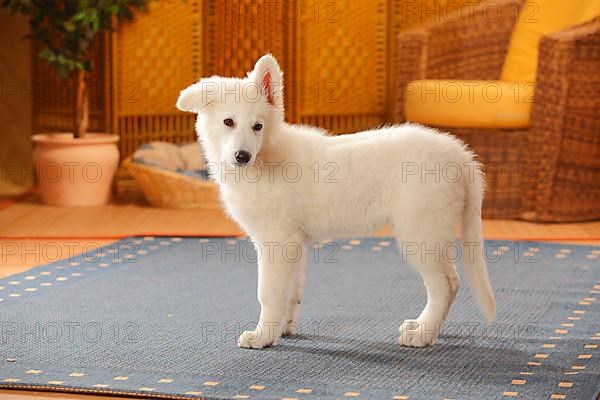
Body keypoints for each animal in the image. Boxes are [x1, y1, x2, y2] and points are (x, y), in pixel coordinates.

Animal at [176, 54, 494, 348]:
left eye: (258, 126)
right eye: (228, 122)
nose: (242, 156)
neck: (266, 157)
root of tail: (461, 155)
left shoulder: (276, 241)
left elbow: (268, 294)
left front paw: (263, 336)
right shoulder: (294, 243)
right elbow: (292, 292)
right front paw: (283, 329)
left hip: (421, 232)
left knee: (445, 285)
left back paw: (423, 335)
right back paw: (421, 327)